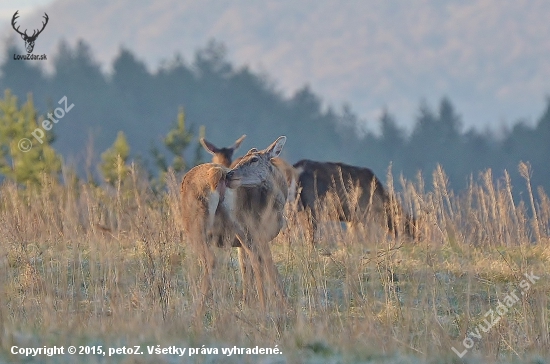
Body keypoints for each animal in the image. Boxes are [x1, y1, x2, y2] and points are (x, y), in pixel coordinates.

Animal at [183, 135, 292, 318]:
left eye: (254, 159)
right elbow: (262, 265)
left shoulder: (243, 241)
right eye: (242, 159)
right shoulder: (256, 233)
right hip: (205, 225)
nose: (230, 174)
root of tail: (217, 174)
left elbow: (245, 268)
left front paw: (247, 303)